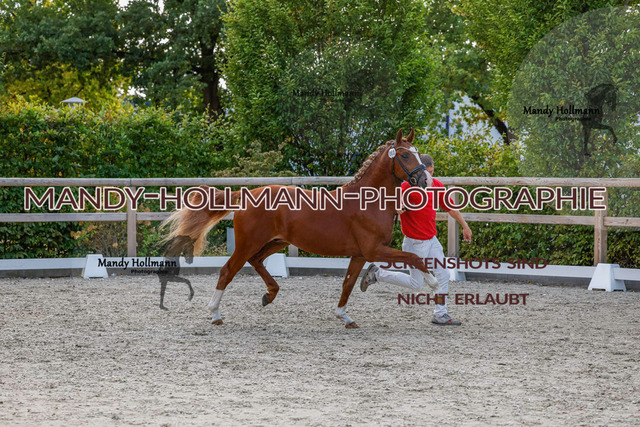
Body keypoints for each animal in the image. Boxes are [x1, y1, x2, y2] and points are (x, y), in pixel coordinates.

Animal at [162, 128, 433, 328]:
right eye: (405, 156)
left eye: (418, 154)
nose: (425, 181)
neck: (367, 201)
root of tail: (248, 194)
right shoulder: (374, 250)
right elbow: (416, 258)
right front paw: (432, 282)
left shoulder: (359, 254)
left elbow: (347, 284)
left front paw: (345, 317)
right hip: (249, 243)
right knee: (228, 271)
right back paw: (216, 314)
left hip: (276, 242)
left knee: (256, 261)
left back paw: (269, 295)